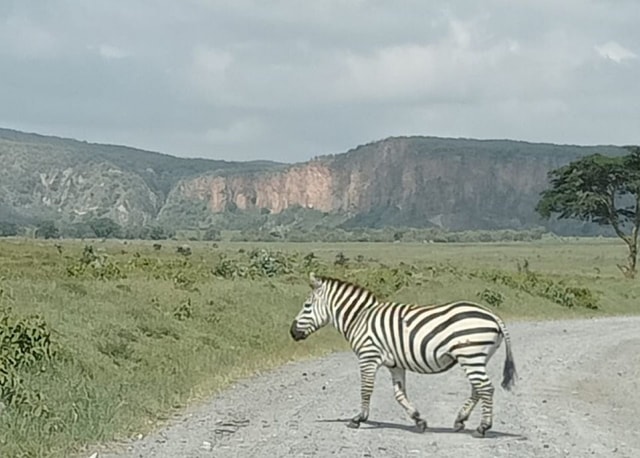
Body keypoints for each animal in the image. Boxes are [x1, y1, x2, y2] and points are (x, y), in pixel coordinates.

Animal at [288, 272, 516, 436]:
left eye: (306, 306)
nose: (292, 332)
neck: (359, 318)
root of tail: (493, 315)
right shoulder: (395, 364)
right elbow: (399, 394)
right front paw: (419, 420)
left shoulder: (368, 357)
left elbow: (366, 389)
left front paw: (358, 419)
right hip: (476, 358)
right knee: (478, 389)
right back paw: (460, 420)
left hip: (470, 356)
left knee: (486, 388)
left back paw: (482, 428)